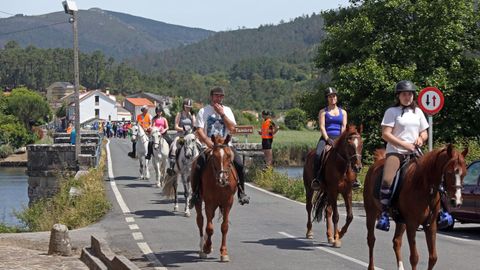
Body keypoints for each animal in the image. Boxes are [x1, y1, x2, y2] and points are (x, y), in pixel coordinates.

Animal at [191, 134, 236, 262]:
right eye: (214, 157)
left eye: (229, 156)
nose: (223, 179)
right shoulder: (209, 202)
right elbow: (209, 227)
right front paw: (206, 247)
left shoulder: (228, 203)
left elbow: (224, 227)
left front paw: (224, 252)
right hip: (199, 200)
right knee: (200, 220)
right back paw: (202, 247)